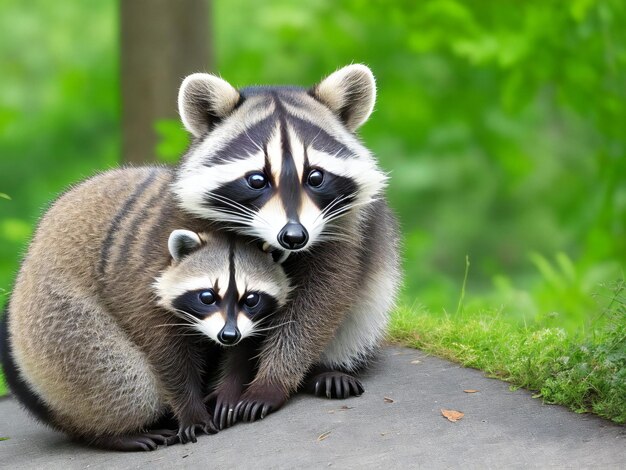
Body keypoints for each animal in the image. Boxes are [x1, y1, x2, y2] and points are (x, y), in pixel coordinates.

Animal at [0, 167, 290, 450]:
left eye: (251, 299)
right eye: (207, 296)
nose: (228, 335)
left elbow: (245, 342)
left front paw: (230, 385)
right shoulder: (137, 275)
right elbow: (163, 352)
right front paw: (189, 409)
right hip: (57, 324)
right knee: (127, 384)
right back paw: (106, 433)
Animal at [173, 64, 398, 420]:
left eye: (316, 177)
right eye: (257, 180)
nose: (294, 237)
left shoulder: (346, 231)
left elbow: (317, 304)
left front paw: (272, 381)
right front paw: (230, 383)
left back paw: (325, 370)